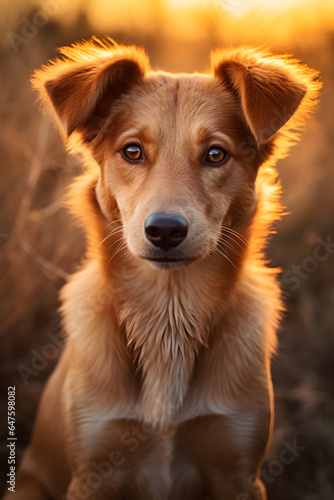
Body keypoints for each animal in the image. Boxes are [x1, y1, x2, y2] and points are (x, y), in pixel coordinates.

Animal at [5, 40, 320, 500]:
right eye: (132, 151)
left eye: (215, 154)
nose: (166, 231)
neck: (169, 314)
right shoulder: (93, 471)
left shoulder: (239, 471)